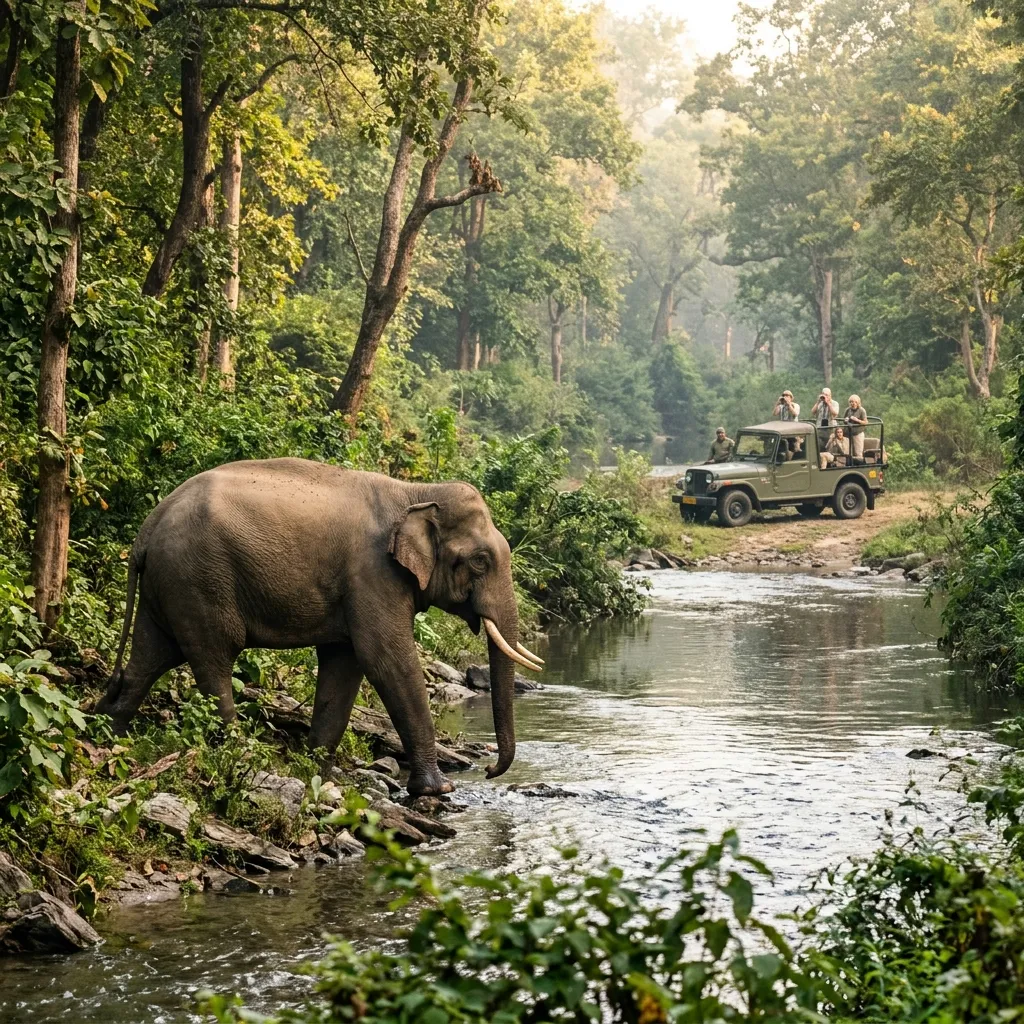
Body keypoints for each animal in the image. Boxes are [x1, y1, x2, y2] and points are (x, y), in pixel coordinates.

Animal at [95, 458, 543, 796]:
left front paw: (318, 774)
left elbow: (345, 664)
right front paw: (436, 791)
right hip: (198, 582)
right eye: (481, 561)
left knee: (149, 658)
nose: (489, 771)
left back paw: (105, 736)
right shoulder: (372, 575)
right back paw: (238, 753)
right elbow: (385, 659)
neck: (415, 492)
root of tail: (147, 527)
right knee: (213, 660)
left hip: (168, 585)